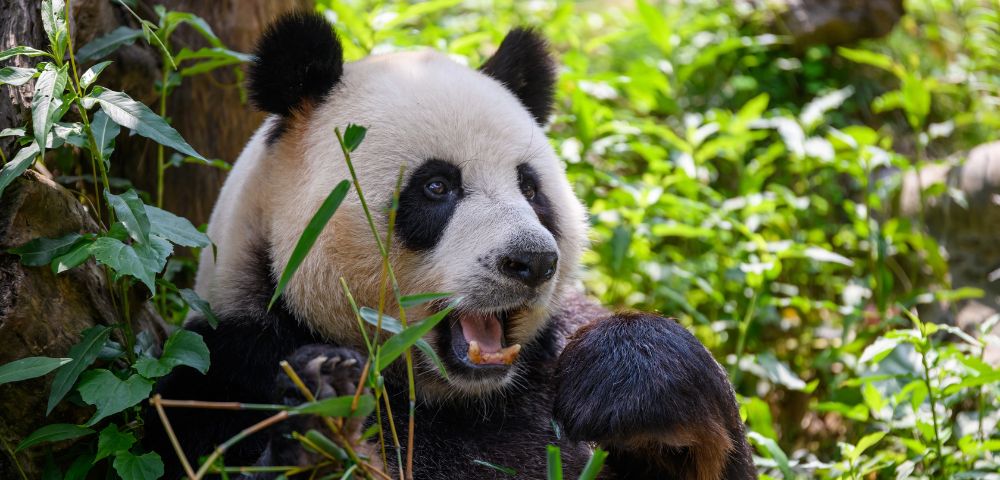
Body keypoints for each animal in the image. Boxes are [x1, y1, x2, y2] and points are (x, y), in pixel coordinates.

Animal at [147, 11, 755, 480]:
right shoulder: (221, 376)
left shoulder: (542, 368)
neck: (460, 398)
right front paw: (323, 405)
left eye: (530, 189)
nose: (533, 262)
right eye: (437, 187)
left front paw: (624, 378)